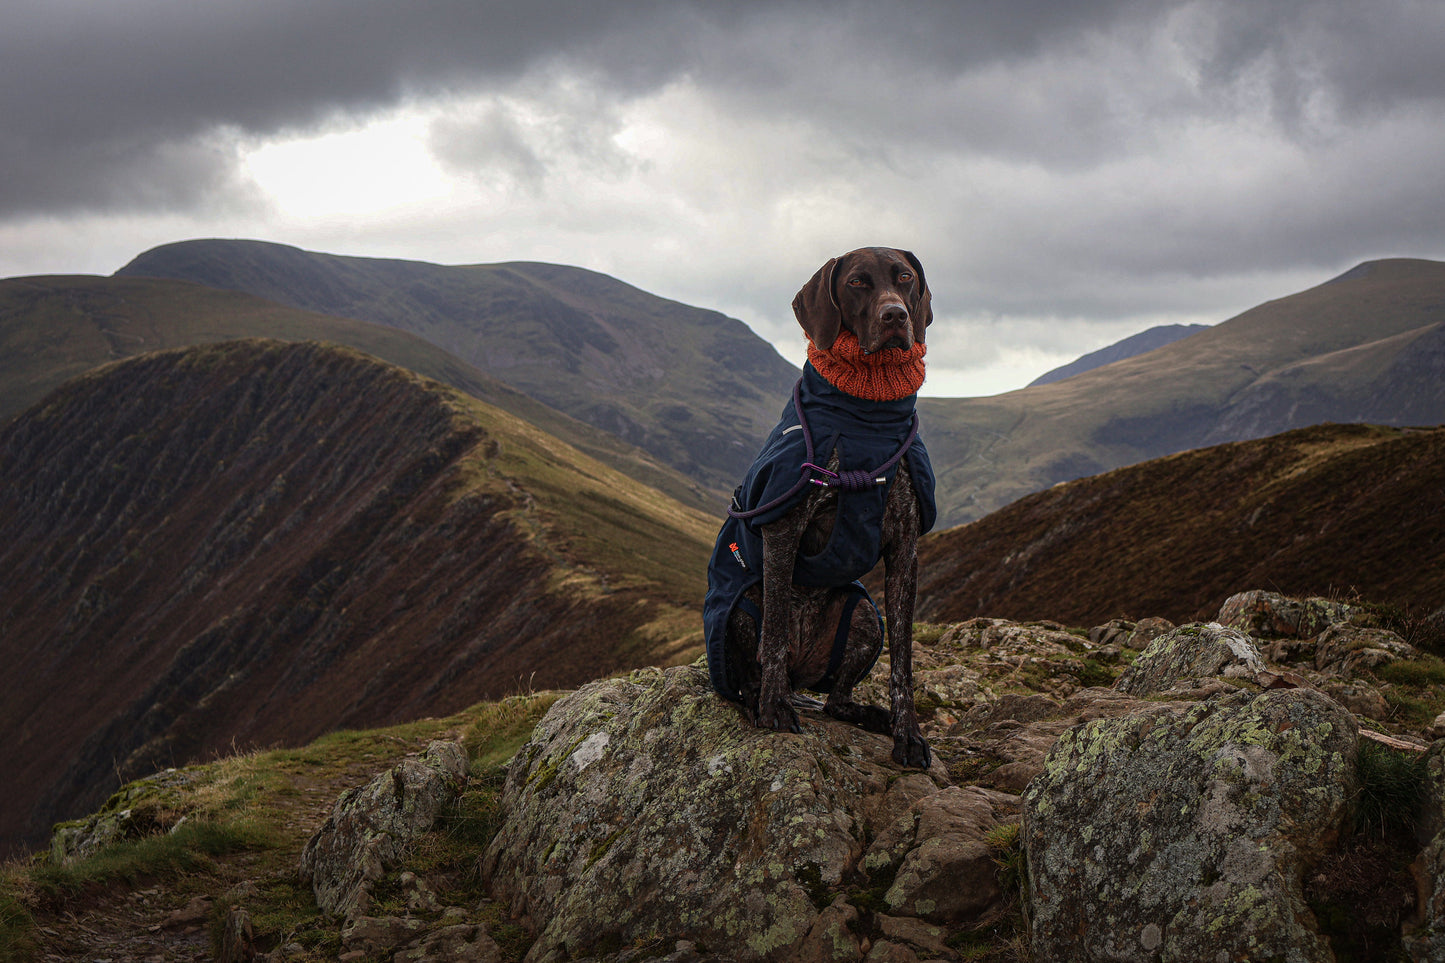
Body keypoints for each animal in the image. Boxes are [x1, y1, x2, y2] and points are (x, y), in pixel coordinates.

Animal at [702, 247, 936, 763]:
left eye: (904, 278)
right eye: (857, 283)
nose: (896, 316)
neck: (868, 417)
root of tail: (802, 673)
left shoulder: (905, 549)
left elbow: (904, 660)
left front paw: (908, 733)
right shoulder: (783, 526)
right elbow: (771, 638)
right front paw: (773, 711)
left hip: (864, 612)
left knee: (836, 700)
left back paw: (868, 714)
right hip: (745, 601)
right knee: (757, 667)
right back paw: (764, 697)